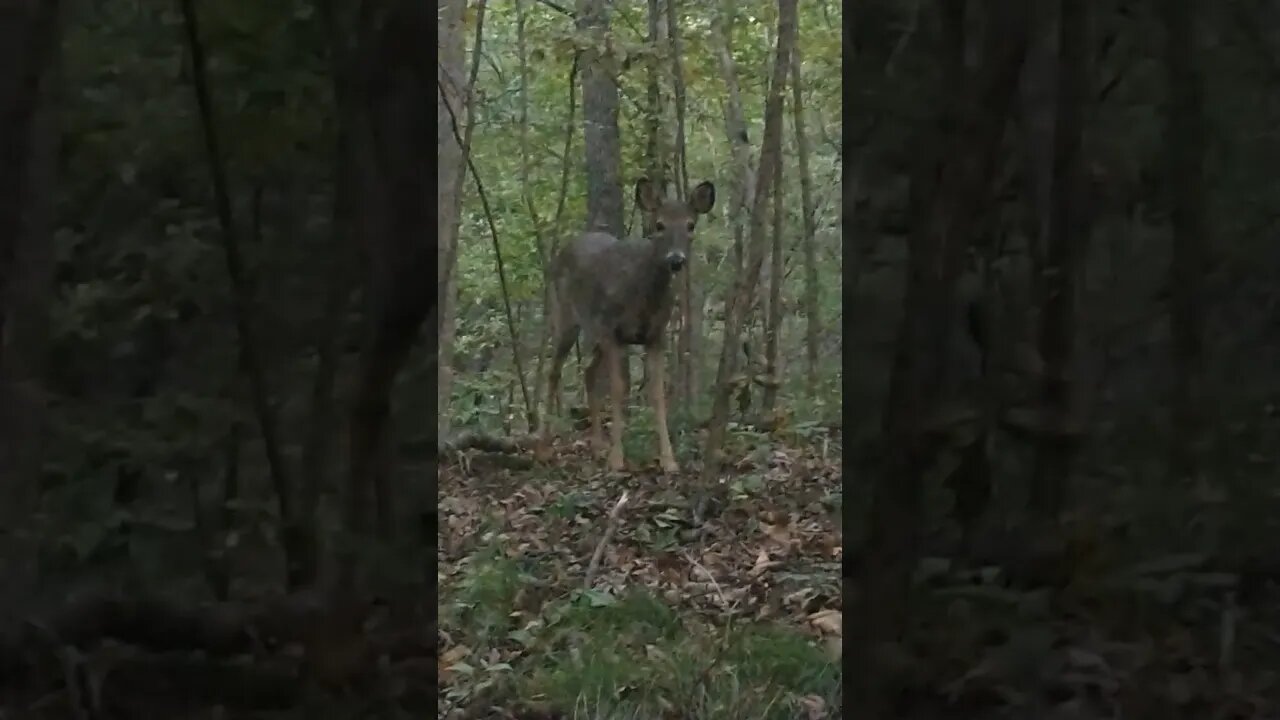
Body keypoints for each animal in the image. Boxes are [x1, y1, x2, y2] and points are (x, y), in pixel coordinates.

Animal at [537, 176, 721, 474]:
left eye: (690, 225)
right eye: (659, 225)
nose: (676, 259)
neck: (642, 294)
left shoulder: (655, 335)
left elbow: (657, 393)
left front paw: (669, 461)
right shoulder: (613, 331)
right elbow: (617, 389)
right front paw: (617, 460)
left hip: (596, 331)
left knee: (588, 372)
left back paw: (597, 446)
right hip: (565, 315)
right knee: (554, 372)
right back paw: (543, 449)